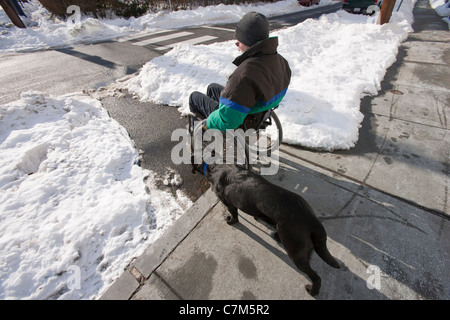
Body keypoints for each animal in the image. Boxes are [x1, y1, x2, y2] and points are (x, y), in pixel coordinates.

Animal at [193, 164, 342, 296]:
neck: (215, 168)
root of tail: (311, 219)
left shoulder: (229, 203)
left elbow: (234, 215)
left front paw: (231, 221)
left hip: (296, 253)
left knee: (316, 277)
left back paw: (313, 291)